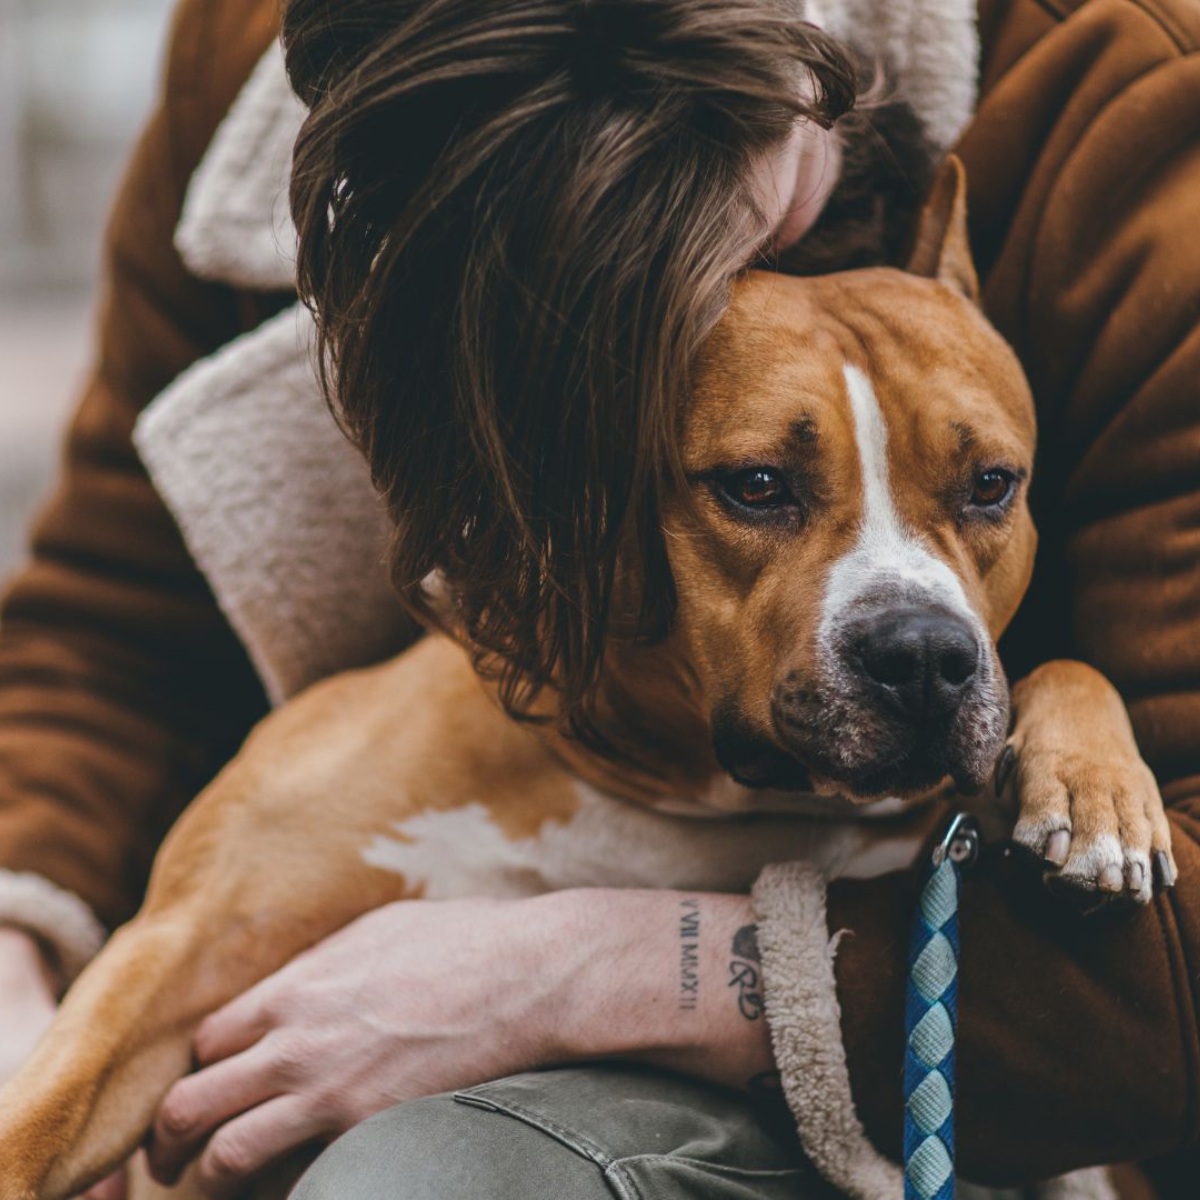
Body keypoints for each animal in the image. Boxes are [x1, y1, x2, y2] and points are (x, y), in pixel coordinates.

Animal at [0, 159, 1171, 1200]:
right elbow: (37, 1124)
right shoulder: (179, 956)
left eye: (991, 484)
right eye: (755, 485)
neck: (665, 780)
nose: (923, 656)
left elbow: (1068, 664)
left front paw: (1098, 793)